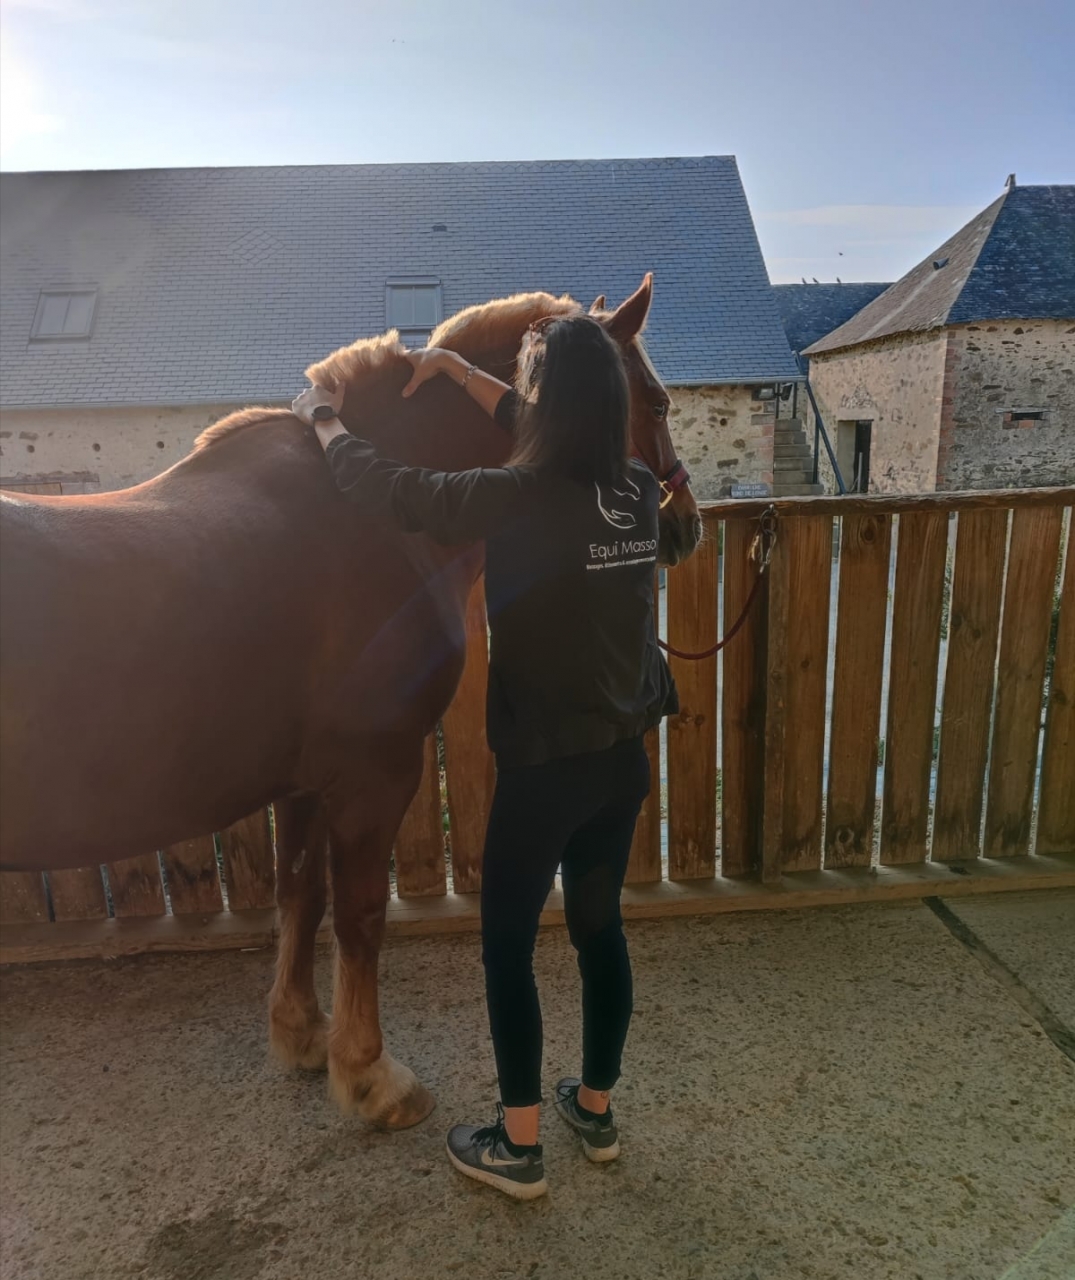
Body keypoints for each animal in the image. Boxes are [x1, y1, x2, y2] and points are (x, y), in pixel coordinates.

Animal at [0, 274, 702, 1128]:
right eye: (657, 404)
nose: (684, 525)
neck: (366, 514)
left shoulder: (304, 784)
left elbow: (301, 896)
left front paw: (302, 1036)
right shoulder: (376, 774)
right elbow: (361, 913)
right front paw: (370, 1076)